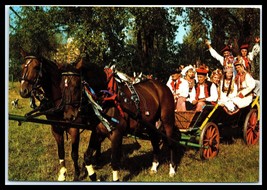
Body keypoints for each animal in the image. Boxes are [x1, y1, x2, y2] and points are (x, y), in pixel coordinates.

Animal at [18, 49, 80, 181]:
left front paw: (77, 175)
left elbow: (74, 154)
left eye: (36, 67)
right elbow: (61, 152)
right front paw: (62, 174)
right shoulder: (56, 129)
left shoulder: (74, 129)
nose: (23, 91)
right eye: (22, 66)